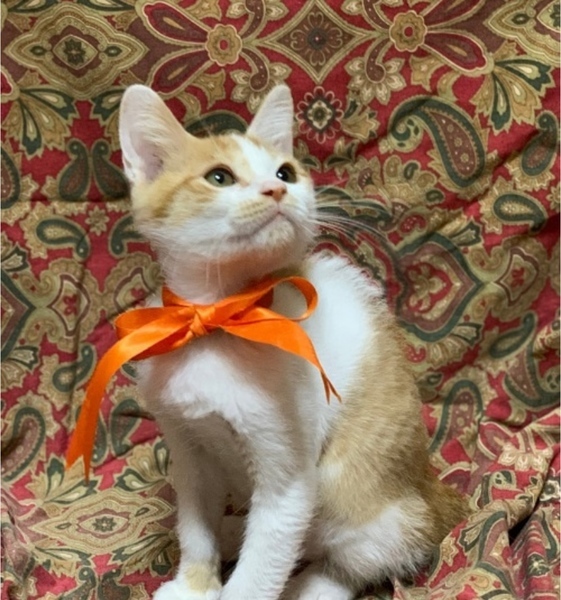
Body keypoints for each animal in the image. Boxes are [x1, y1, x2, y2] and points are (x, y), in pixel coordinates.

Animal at [118, 84, 469, 600]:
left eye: (286, 171)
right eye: (219, 177)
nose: (277, 189)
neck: (219, 320)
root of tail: (434, 494)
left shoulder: (288, 476)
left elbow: (263, 564)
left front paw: (236, 584)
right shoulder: (187, 444)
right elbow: (194, 522)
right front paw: (195, 584)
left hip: (354, 494)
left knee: (354, 559)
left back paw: (310, 584)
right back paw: (232, 531)